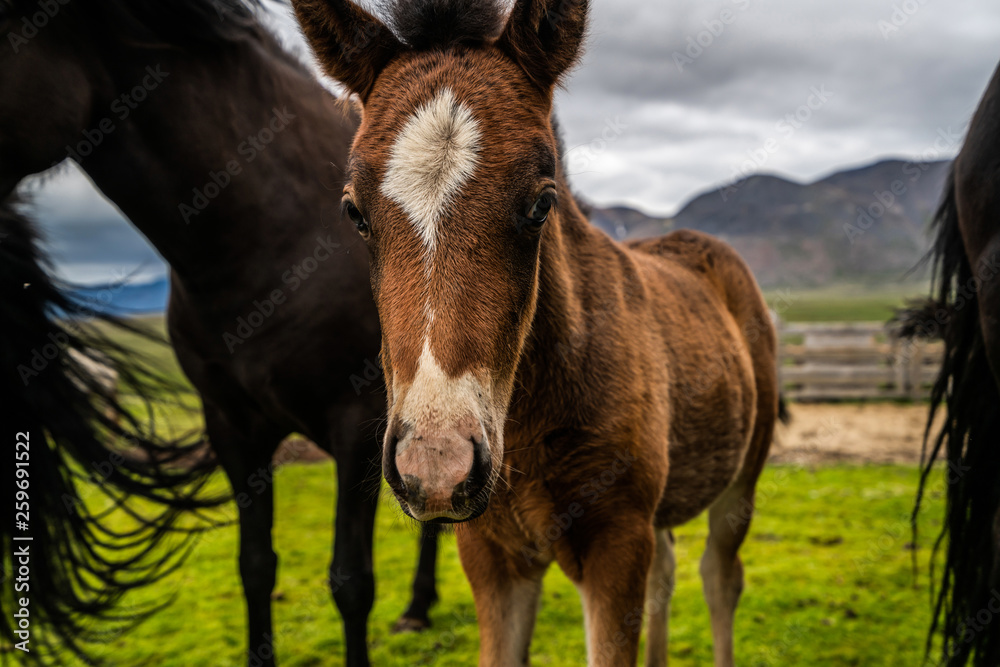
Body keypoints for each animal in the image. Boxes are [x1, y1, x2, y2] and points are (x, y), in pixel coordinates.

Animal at [292, 0, 776, 664]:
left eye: (541, 204)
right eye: (354, 212)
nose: (435, 465)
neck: (529, 423)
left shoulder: (617, 541)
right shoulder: (492, 555)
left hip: (742, 475)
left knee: (719, 576)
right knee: (669, 572)